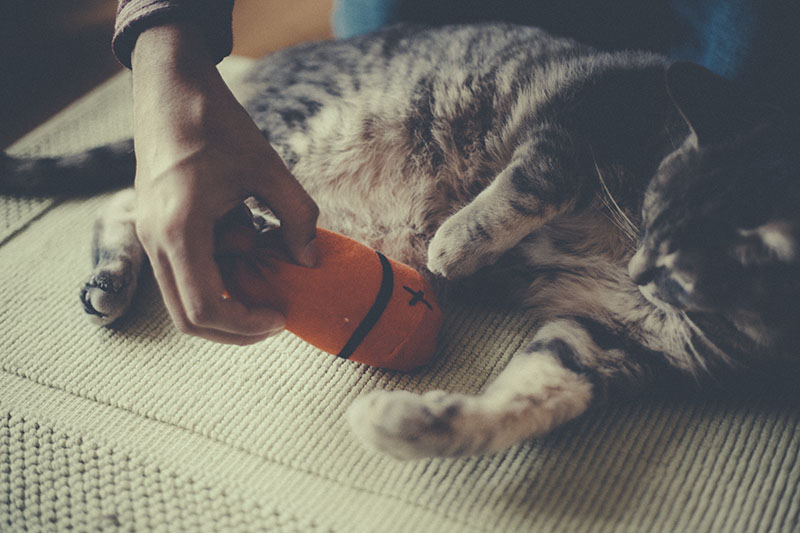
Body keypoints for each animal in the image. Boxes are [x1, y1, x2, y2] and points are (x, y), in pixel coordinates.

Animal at [1, 23, 800, 458]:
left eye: (681, 269)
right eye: (654, 205)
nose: (638, 269)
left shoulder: (610, 341)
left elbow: (529, 398)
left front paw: (422, 425)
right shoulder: (587, 110)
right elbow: (534, 179)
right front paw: (456, 244)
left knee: (131, 199)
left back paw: (114, 278)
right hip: (284, 149)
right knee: (140, 196)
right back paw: (114, 274)